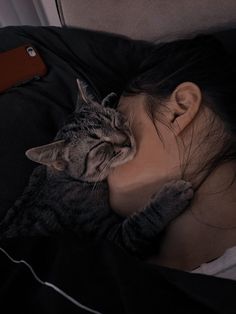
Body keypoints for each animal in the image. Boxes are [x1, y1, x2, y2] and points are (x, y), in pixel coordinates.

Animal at [0, 78, 194, 258]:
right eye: (100, 145)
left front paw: (107, 99)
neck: (65, 178)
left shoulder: (37, 173)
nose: (127, 141)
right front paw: (171, 197)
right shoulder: (115, 238)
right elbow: (142, 222)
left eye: (115, 121)